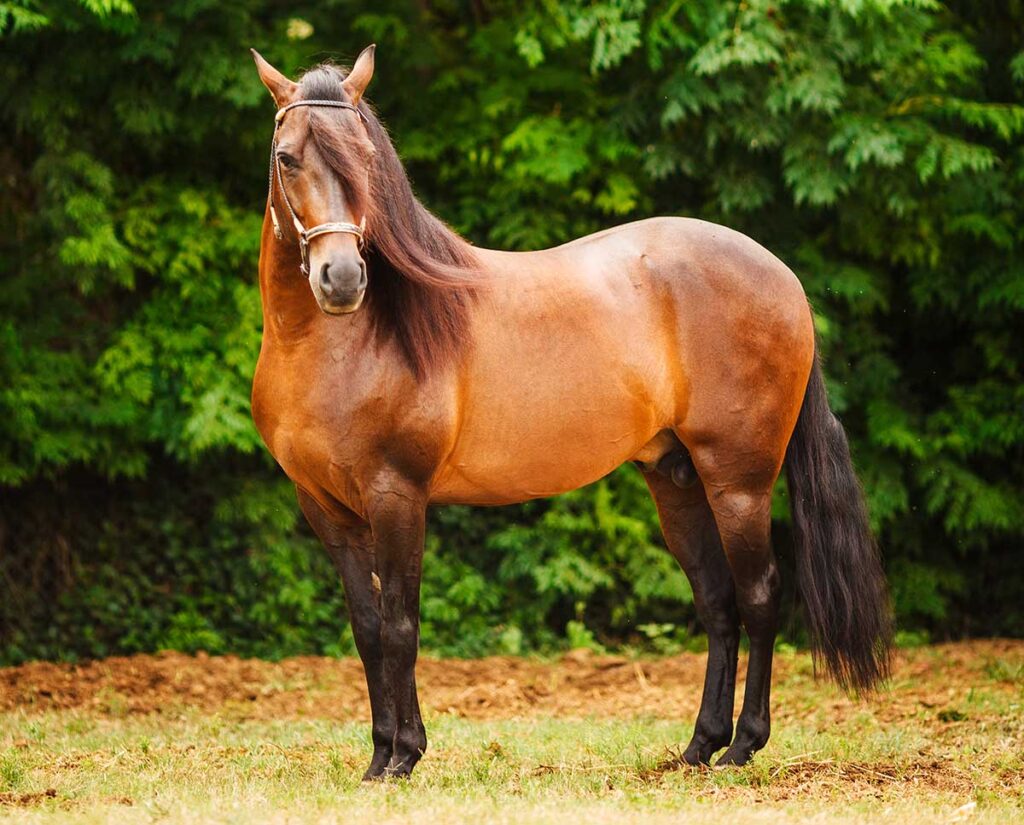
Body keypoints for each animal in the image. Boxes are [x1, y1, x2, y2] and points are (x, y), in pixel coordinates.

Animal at [248, 45, 891, 780]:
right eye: (287, 157)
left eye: (365, 158)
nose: (343, 279)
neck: (336, 346)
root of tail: (783, 277)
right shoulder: (326, 507)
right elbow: (368, 627)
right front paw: (380, 757)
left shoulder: (397, 495)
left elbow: (401, 624)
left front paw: (404, 755)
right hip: (676, 480)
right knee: (718, 602)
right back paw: (699, 746)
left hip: (740, 482)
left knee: (760, 595)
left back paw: (742, 747)